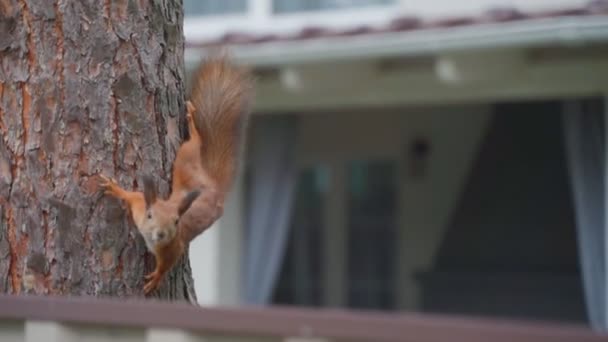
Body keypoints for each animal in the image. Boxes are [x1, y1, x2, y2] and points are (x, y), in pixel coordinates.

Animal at [98, 56, 254, 294]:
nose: (161, 234)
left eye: (176, 222)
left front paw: (156, 279)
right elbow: (134, 196)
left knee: (195, 141)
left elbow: (165, 266)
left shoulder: (174, 248)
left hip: (185, 159)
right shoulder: (140, 210)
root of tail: (214, 188)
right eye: (150, 215)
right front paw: (115, 189)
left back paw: (192, 123)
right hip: (185, 163)